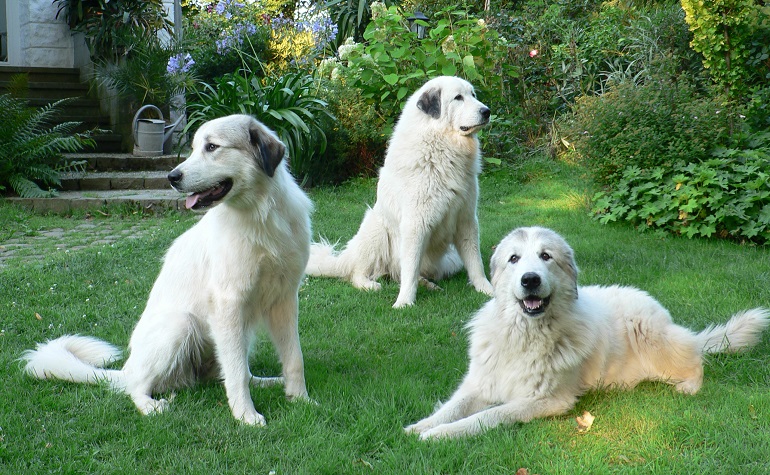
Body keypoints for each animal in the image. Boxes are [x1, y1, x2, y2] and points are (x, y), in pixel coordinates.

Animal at [24, 115, 312, 428]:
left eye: (212, 147)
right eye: (194, 147)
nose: (172, 177)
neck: (261, 216)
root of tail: (127, 368)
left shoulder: (284, 299)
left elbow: (293, 359)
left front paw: (301, 400)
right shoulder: (229, 304)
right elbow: (236, 373)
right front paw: (246, 415)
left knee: (229, 372)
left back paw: (268, 381)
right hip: (182, 324)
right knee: (136, 386)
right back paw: (151, 406)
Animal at [304, 77, 492, 308]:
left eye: (473, 95)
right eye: (458, 98)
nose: (487, 111)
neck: (442, 146)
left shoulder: (466, 220)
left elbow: (476, 263)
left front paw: (487, 290)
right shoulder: (415, 224)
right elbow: (409, 269)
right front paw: (404, 303)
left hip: (451, 258)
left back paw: (428, 284)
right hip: (375, 230)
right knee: (359, 273)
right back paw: (370, 285)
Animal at [404, 227, 764, 438]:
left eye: (546, 256)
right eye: (514, 259)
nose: (530, 279)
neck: (525, 336)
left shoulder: (546, 400)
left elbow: (488, 417)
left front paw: (439, 435)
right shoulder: (480, 383)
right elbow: (453, 407)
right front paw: (420, 426)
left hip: (654, 339)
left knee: (696, 358)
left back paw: (690, 386)